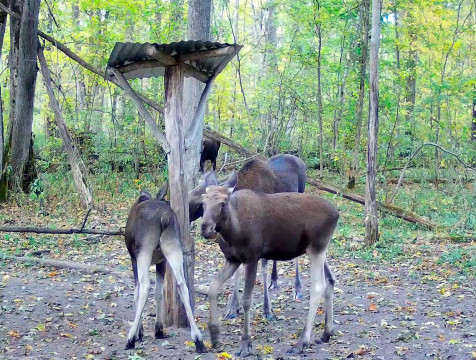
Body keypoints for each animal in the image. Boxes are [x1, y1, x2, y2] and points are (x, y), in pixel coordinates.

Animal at [122, 184, 205, 352]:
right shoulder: (161, 262)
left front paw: (140, 332)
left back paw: (131, 338)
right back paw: (198, 339)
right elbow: (159, 292)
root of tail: (164, 218)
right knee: (182, 284)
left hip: (144, 252)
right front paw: (158, 329)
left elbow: (137, 292)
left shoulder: (133, 259)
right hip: (173, 247)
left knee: (145, 287)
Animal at [188, 153, 306, 320]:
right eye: (202, 204)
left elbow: (262, 270)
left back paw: (297, 288)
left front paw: (267, 309)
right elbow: (237, 273)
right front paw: (232, 308)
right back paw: (274, 280)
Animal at [201, 172, 338, 358]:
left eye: (223, 203)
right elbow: (213, 287)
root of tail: (337, 214)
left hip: (316, 248)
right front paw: (214, 335)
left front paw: (246, 344)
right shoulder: (233, 259)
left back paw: (301, 342)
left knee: (318, 287)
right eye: (203, 202)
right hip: (321, 250)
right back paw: (326, 332)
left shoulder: (252, 257)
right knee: (331, 280)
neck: (232, 231)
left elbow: (247, 300)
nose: (205, 228)